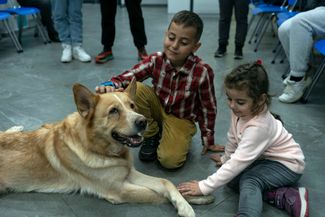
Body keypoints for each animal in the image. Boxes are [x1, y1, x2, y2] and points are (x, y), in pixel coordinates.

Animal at [0, 79, 200, 217]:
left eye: (132, 106)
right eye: (113, 111)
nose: (143, 121)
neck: (98, 148)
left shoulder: (129, 173)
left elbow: (165, 182)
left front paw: (184, 202)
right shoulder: (119, 190)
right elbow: (157, 193)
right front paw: (197, 197)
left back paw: (17, 128)